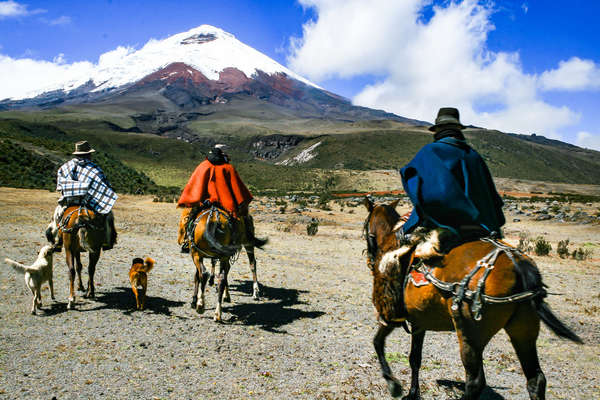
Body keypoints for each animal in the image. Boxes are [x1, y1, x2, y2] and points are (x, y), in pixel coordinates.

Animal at [360, 198, 580, 398]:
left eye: (365, 228)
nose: (371, 260)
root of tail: (517, 264)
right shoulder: (419, 321)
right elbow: (415, 358)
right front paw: (413, 393)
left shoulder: (391, 315)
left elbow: (377, 343)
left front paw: (394, 385)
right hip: (523, 331)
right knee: (536, 379)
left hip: (470, 334)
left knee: (475, 382)